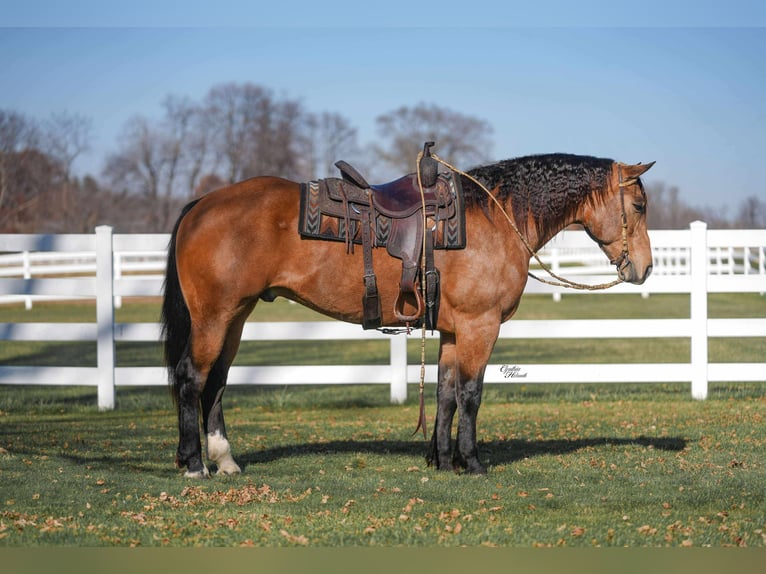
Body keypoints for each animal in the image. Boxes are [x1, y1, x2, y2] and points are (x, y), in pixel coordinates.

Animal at [161, 152, 655, 478]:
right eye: (639, 206)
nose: (645, 268)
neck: (495, 217)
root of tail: (202, 204)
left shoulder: (454, 332)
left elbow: (445, 394)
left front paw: (442, 459)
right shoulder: (480, 326)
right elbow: (471, 394)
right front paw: (472, 462)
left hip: (236, 317)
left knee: (216, 382)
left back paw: (225, 459)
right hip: (214, 317)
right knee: (192, 377)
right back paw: (194, 464)